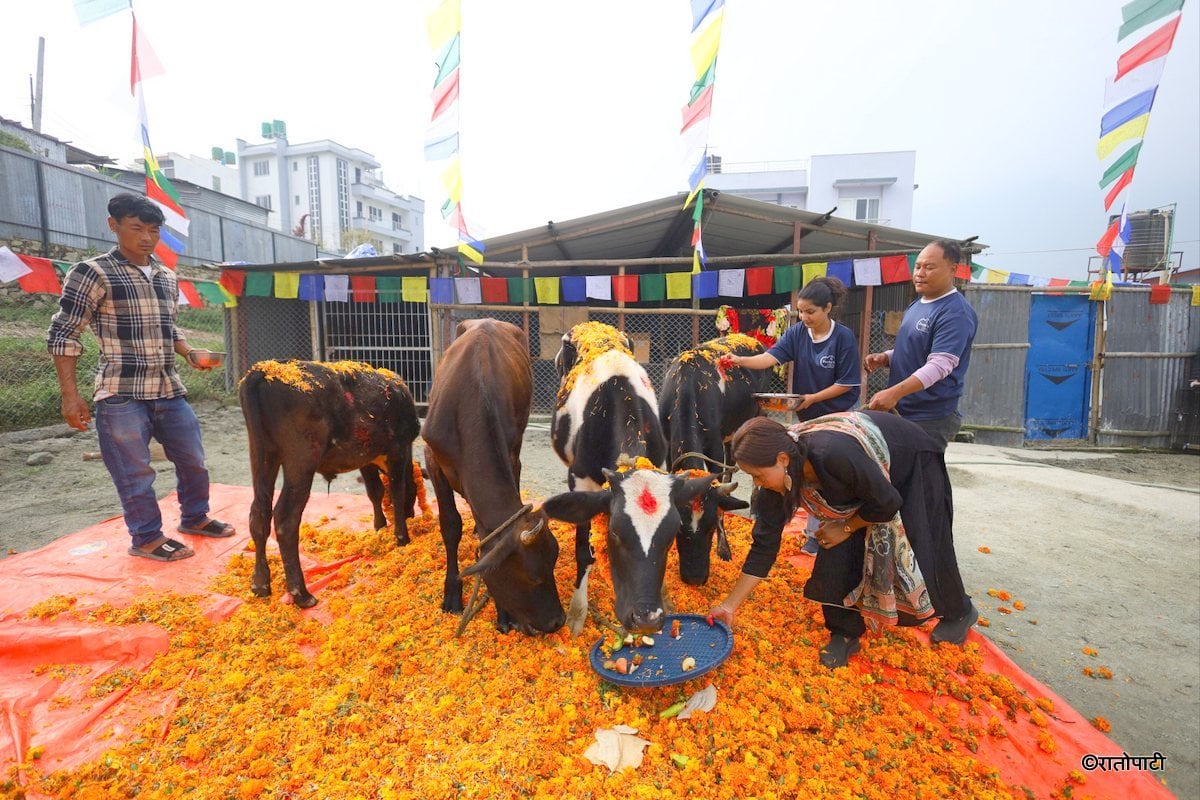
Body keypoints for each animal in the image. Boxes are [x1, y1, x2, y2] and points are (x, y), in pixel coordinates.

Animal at [236, 359, 420, 609]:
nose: (412, 515)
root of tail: (265, 371)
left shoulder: (365, 458)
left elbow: (375, 492)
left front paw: (380, 527)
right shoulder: (398, 449)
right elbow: (397, 491)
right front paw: (402, 537)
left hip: (262, 456)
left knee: (259, 514)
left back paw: (261, 584)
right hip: (301, 462)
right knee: (285, 518)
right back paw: (301, 594)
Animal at [422, 316, 566, 633]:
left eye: (554, 563)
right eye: (533, 576)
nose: (557, 621)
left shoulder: (510, 451)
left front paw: (504, 615)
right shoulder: (432, 457)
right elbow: (450, 524)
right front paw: (452, 593)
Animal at [549, 321, 667, 633]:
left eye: (672, 532)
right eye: (616, 533)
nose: (648, 619)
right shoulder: (580, 481)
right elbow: (584, 552)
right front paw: (577, 613)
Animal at [652, 335, 763, 585]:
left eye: (711, 527)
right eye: (678, 529)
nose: (694, 578)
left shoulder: (713, 445)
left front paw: (724, 548)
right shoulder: (668, 446)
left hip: (755, 415)